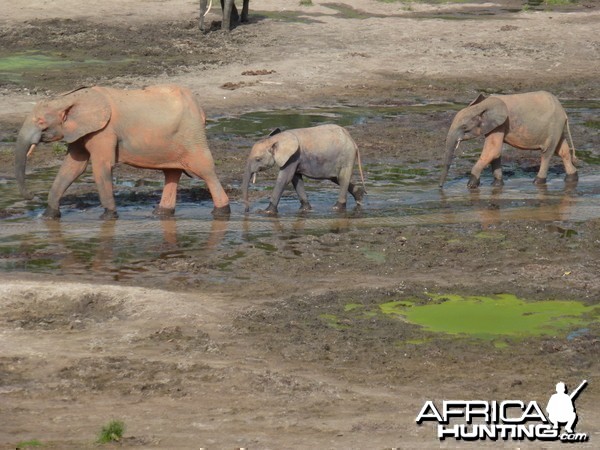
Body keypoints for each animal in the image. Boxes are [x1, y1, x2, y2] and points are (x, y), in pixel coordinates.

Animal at [14, 84, 230, 220]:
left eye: (41, 122)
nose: (31, 196)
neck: (70, 97)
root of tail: (201, 110)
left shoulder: (104, 131)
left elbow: (101, 166)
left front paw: (108, 217)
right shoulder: (81, 132)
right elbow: (73, 167)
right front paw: (48, 216)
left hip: (192, 135)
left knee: (206, 170)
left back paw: (222, 211)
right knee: (172, 173)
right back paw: (160, 214)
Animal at [440, 90, 576, 189]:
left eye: (464, 127)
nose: (440, 187)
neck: (482, 105)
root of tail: (563, 112)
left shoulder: (501, 123)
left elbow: (492, 151)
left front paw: (471, 186)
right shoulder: (496, 125)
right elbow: (495, 154)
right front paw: (496, 185)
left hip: (554, 126)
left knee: (547, 152)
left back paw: (537, 182)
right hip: (556, 127)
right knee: (562, 150)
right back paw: (572, 178)